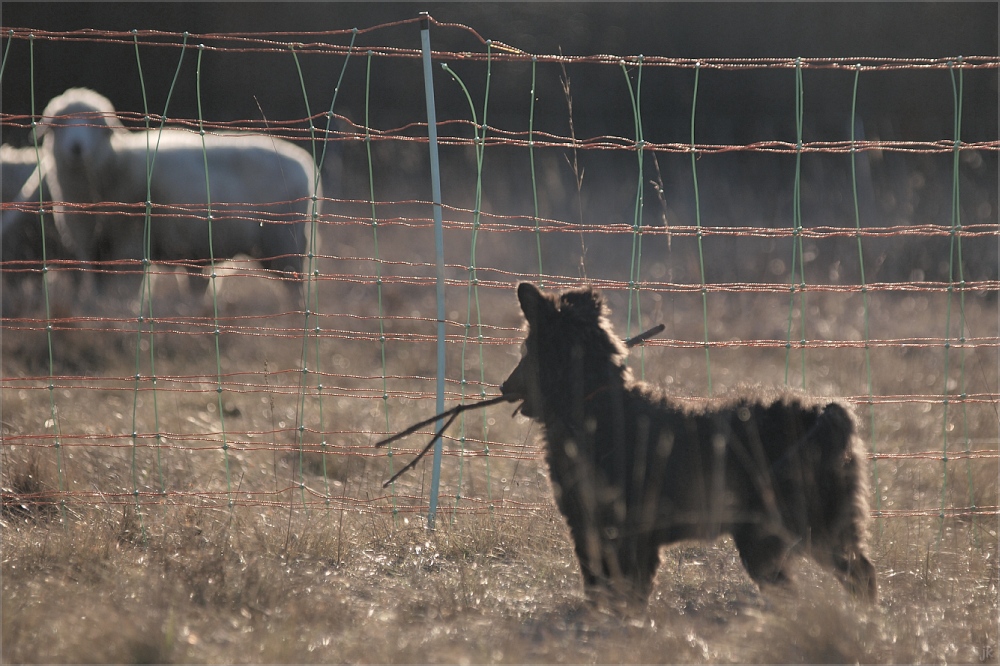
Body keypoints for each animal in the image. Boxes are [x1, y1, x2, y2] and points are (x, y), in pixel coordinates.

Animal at [35, 87, 322, 304]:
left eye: (95, 124)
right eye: (60, 124)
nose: (76, 147)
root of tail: (304, 162)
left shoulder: (130, 240)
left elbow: (126, 287)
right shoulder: (92, 248)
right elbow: (98, 288)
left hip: (284, 241)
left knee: (294, 287)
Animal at [500, 282, 876, 604]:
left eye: (526, 350)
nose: (504, 387)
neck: (594, 404)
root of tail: (824, 412)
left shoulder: (619, 531)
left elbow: (616, 590)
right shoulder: (603, 529)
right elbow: (610, 589)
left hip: (783, 531)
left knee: (839, 581)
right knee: (856, 574)